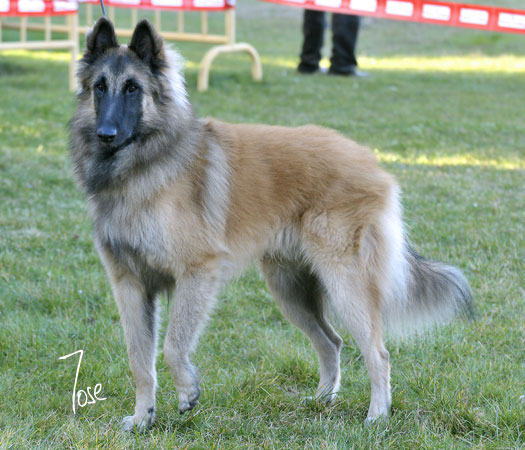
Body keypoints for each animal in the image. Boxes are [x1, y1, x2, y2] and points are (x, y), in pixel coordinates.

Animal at [70, 17, 473, 431]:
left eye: (132, 88)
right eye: (99, 87)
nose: (105, 135)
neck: (144, 165)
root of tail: (373, 163)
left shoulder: (197, 272)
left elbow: (171, 346)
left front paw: (187, 392)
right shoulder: (130, 285)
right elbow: (139, 359)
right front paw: (142, 417)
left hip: (345, 284)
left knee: (378, 352)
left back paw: (376, 416)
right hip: (290, 290)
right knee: (332, 341)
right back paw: (322, 399)